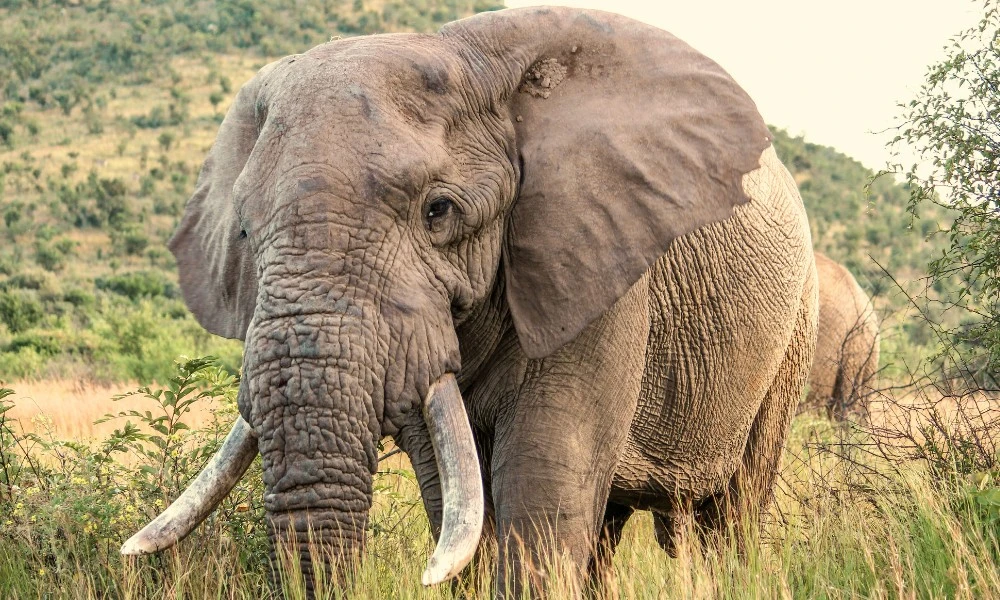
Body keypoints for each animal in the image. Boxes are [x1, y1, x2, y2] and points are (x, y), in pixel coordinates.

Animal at [120, 6, 818, 596]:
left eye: (439, 211)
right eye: (242, 231)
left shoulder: (595, 270)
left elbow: (543, 477)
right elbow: (453, 493)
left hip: (792, 337)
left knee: (731, 513)